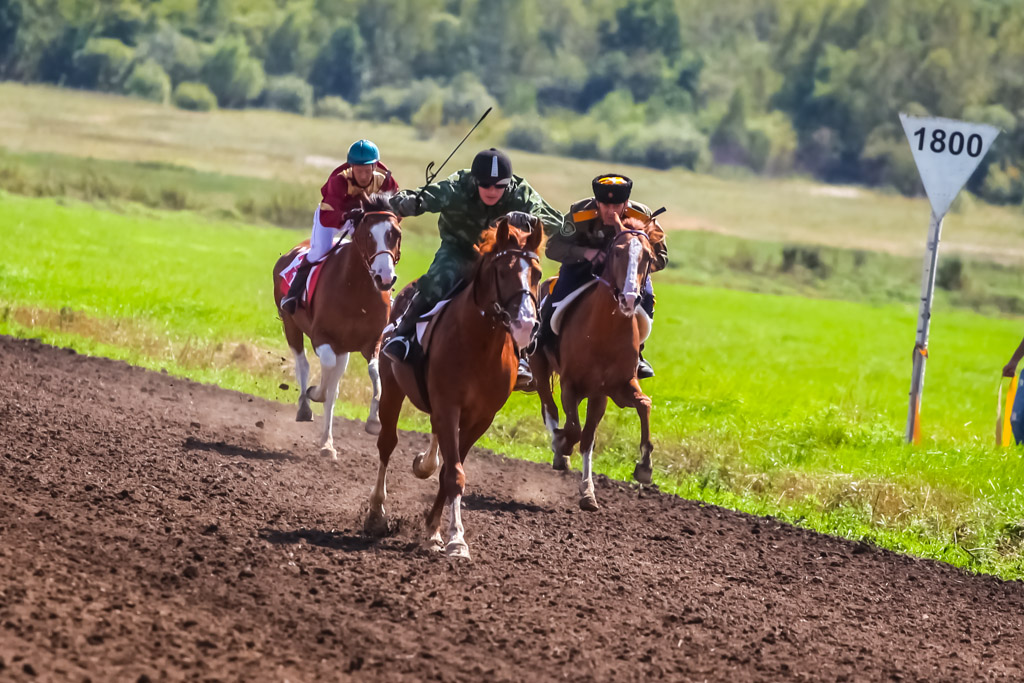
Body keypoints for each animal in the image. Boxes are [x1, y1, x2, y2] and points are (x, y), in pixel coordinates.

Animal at [270, 192, 401, 458]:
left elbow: (373, 374)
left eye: (395, 233)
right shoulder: (322, 337)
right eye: (368, 234)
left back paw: (327, 444)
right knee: (303, 365)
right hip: (291, 324)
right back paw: (305, 406)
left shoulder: (372, 342)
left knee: (333, 386)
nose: (385, 277)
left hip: (343, 347)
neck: (357, 290)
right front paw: (314, 393)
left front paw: (374, 421)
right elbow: (326, 378)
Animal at [366, 214, 548, 561]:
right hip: (393, 387)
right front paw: (457, 539)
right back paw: (377, 513)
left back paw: (424, 465)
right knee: (386, 444)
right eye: (502, 271)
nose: (526, 324)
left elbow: (450, 471)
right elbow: (454, 474)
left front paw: (435, 530)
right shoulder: (449, 407)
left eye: (538, 273)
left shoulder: (481, 418)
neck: (481, 345)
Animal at [528, 216, 655, 509]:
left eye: (648, 256)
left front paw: (643, 467)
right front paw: (562, 445)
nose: (629, 298)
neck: (603, 332)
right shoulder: (570, 385)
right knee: (549, 408)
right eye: (617, 251)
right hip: (539, 367)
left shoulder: (610, 390)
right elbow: (573, 429)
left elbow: (641, 405)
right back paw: (559, 448)